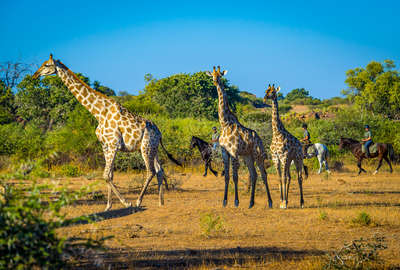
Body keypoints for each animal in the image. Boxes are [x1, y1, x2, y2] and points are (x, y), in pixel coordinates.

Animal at [33, 54, 181, 211]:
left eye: (47, 65)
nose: (35, 75)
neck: (98, 113)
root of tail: (160, 133)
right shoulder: (105, 145)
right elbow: (110, 175)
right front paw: (108, 206)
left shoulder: (113, 144)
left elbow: (105, 175)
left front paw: (126, 203)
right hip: (153, 148)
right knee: (160, 170)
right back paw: (161, 202)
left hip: (146, 148)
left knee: (151, 171)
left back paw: (138, 201)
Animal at [205, 66, 274, 209]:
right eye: (212, 75)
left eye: (220, 75)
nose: (215, 81)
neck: (225, 123)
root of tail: (260, 139)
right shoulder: (225, 152)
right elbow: (227, 176)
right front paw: (224, 201)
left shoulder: (234, 152)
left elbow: (235, 176)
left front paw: (236, 201)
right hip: (248, 156)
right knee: (253, 174)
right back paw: (251, 203)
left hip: (258, 155)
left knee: (263, 174)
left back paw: (270, 202)